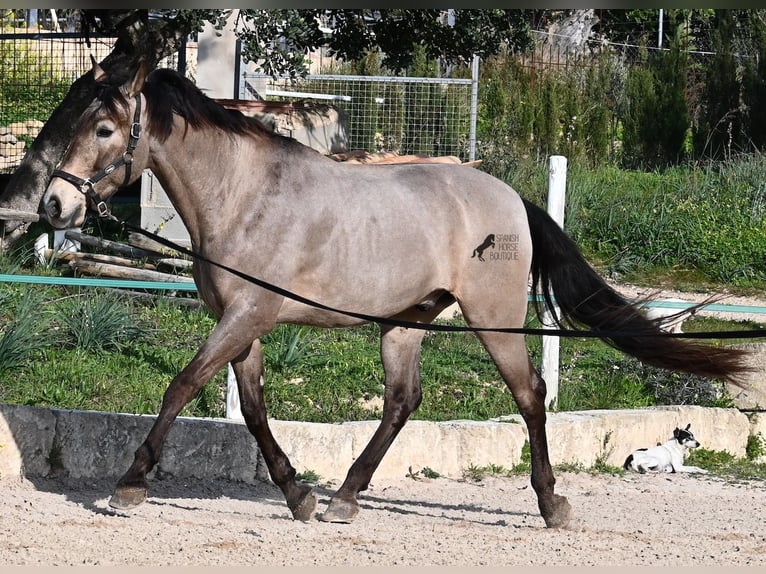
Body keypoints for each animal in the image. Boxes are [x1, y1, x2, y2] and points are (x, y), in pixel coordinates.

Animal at [41, 66, 749, 529]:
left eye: (105, 128)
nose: (53, 205)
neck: (245, 197)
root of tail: (510, 198)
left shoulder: (247, 315)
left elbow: (182, 385)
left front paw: (130, 485)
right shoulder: (241, 323)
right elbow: (252, 408)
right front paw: (297, 495)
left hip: (494, 320)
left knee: (530, 395)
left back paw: (552, 505)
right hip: (406, 322)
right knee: (403, 401)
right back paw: (344, 499)